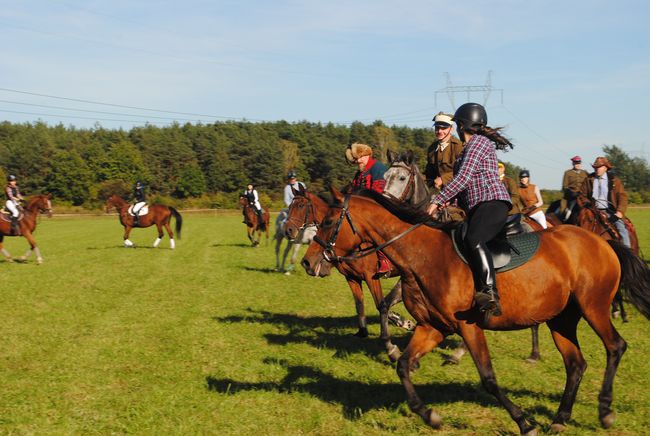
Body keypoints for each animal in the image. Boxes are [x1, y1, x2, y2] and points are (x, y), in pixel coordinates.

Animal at [286, 184, 412, 358]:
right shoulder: (351, 277)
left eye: (300, 206)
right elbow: (360, 304)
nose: (288, 230)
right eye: (290, 206)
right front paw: (363, 331)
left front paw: (400, 325)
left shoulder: (371, 277)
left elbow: (381, 304)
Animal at [302, 186, 648, 432]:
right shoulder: (433, 328)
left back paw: (605, 411)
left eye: (329, 222)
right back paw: (560, 419)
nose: (307, 261)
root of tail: (602, 242)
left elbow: (488, 378)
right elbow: (403, 366)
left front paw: (524, 422)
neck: (423, 256)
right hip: (561, 320)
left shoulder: (468, 327)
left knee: (615, 346)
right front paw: (429, 415)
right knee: (576, 364)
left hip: (594, 307)